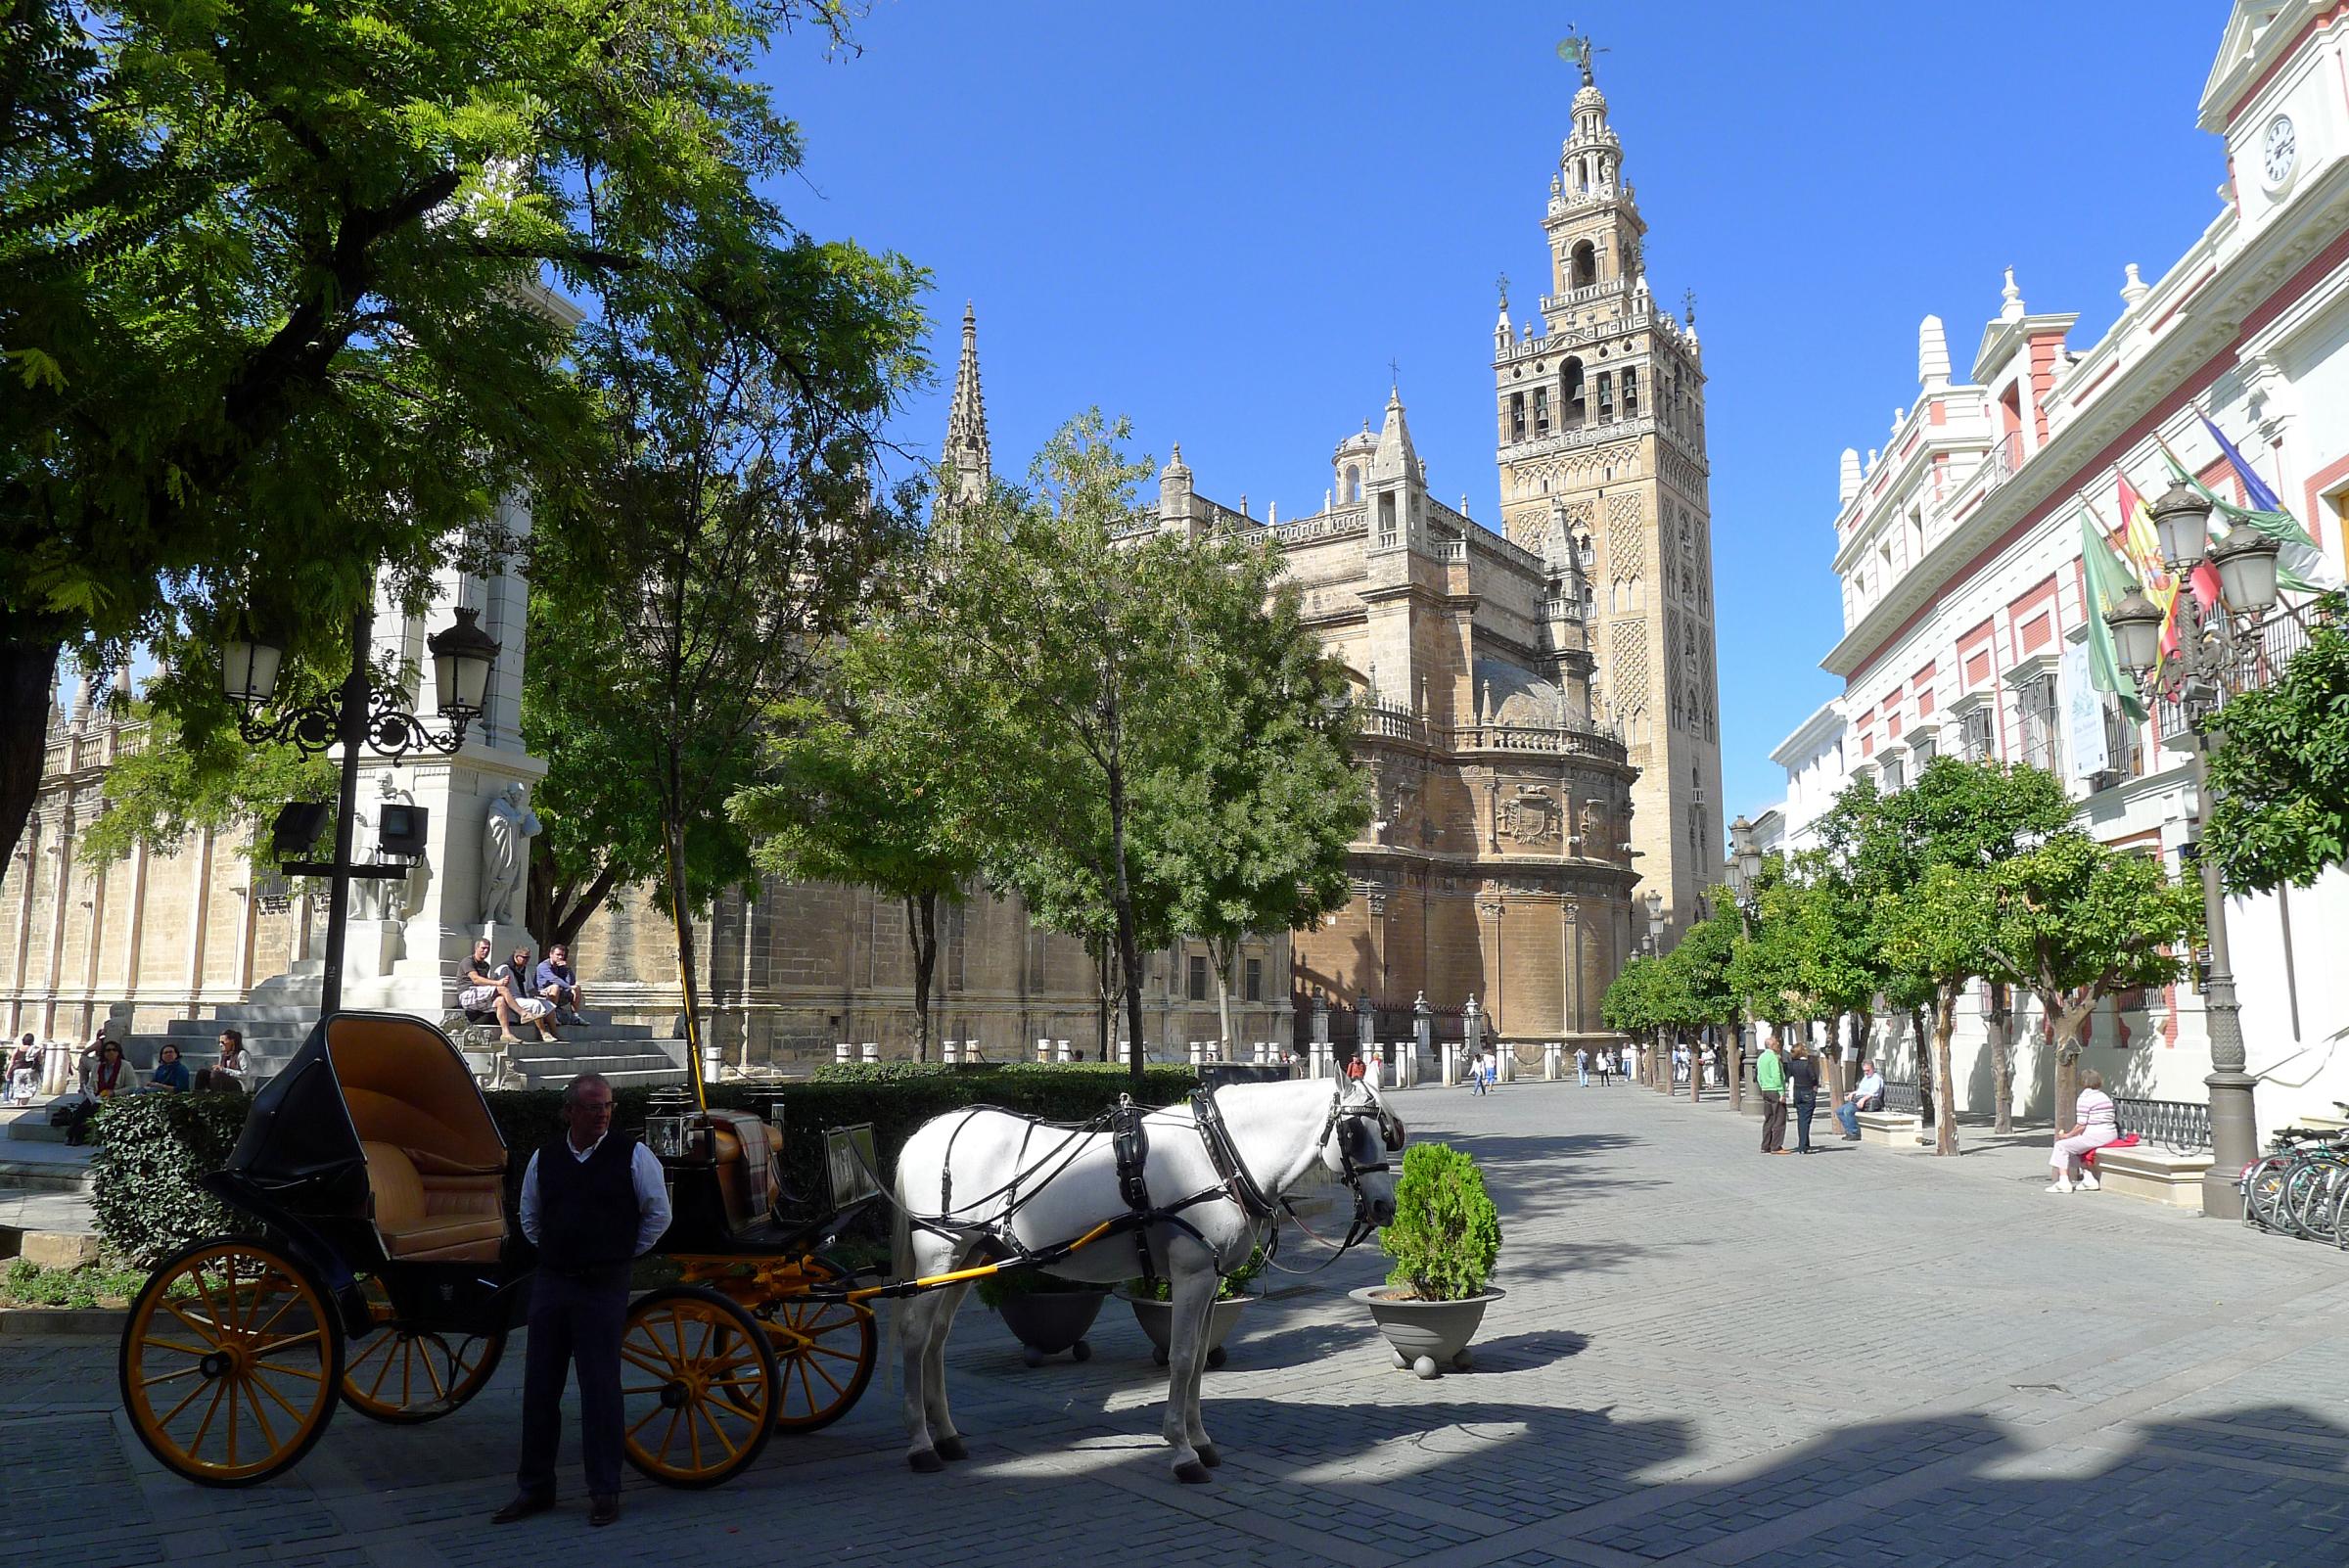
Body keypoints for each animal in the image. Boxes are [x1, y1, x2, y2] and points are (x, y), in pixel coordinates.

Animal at [883, 1080, 1390, 1483]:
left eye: (1387, 1133)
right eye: (1352, 1133)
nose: (1385, 1207)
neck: (1215, 1153)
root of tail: (928, 1132)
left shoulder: (1209, 1281)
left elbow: (1199, 1359)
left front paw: (1200, 1439)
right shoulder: (1190, 1275)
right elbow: (1182, 1359)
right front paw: (1183, 1452)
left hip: (968, 1256)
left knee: (937, 1339)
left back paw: (946, 1436)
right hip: (941, 1254)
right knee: (915, 1335)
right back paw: (920, 1444)